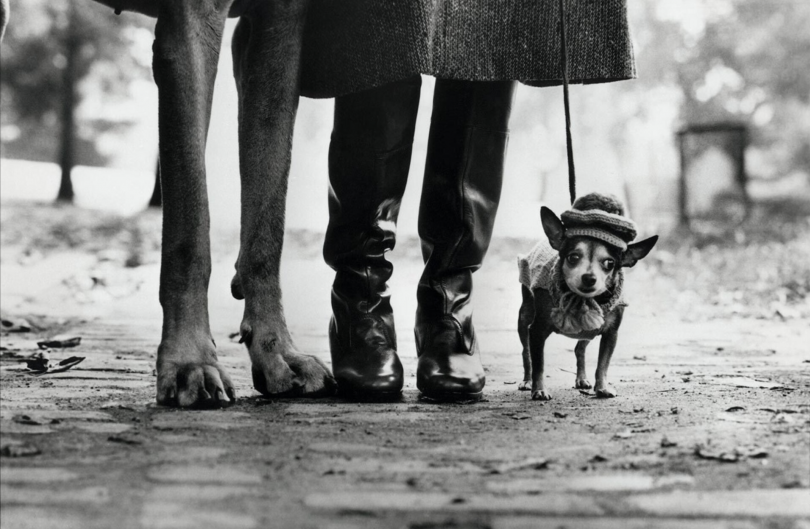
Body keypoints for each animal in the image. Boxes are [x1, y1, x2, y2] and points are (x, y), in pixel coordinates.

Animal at [516, 194, 656, 400]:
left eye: (609, 263)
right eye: (573, 257)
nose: (589, 278)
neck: (582, 299)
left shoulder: (610, 334)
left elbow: (603, 364)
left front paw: (603, 387)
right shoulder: (537, 330)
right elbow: (539, 364)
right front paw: (539, 389)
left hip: (588, 331)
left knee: (579, 349)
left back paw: (581, 379)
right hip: (524, 318)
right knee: (526, 352)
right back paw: (526, 381)